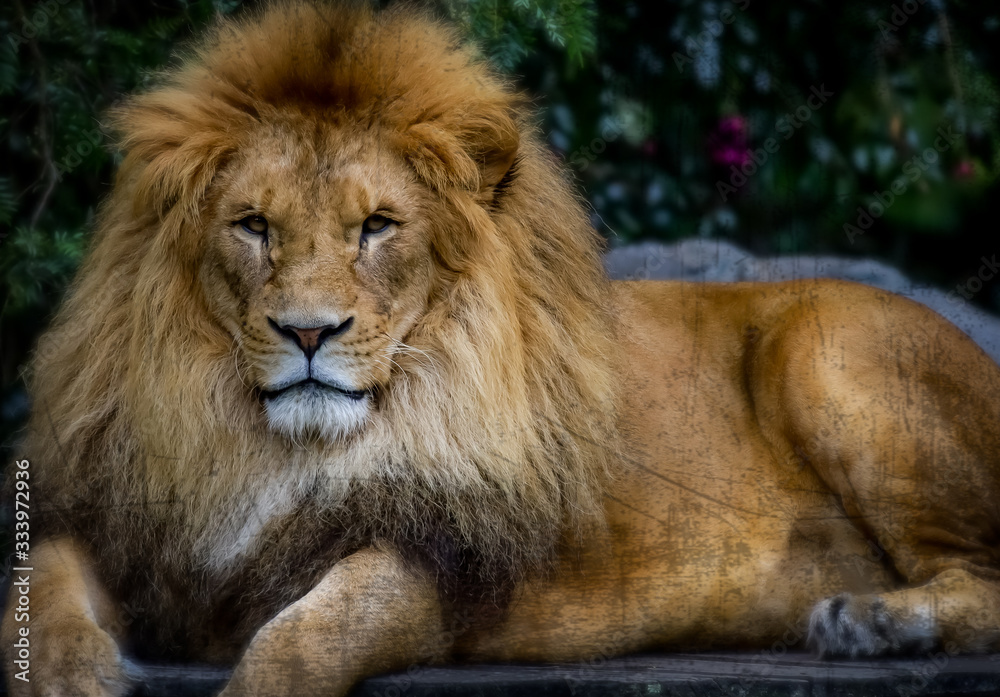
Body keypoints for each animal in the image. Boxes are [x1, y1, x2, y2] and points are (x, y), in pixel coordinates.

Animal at [1, 1, 1000, 696]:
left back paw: (869, 622)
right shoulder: (120, 516)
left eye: (376, 226)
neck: (268, 447)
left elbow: (308, 635)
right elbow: (37, 585)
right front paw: (70, 671)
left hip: (824, 350)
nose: (309, 332)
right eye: (253, 226)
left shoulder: (445, 561)